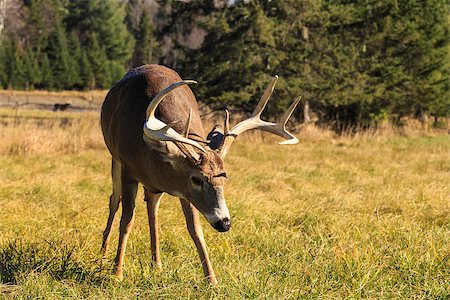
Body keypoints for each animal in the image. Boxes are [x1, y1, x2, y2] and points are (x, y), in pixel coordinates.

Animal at [100, 63, 300, 286]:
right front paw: (117, 273)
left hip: (153, 187)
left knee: (152, 207)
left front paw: (212, 279)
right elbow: (126, 222)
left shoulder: (184, 191)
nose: (225, 223)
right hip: (115, 159)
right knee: (114, 199)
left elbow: (195, 229)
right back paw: (103, 253)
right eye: (196, 178)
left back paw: (156, 263)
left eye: (224, 177)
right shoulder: (128, 168)